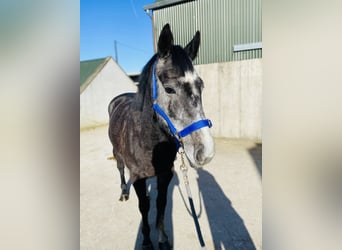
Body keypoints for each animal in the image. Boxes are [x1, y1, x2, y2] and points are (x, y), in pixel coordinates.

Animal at [108, 23, 214, 250]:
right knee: (120, 169)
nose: (206, 153)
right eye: (169, 88)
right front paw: (147, 241)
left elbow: (161, 203)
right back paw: (123, 192)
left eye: (201, 85)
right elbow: (144, 206)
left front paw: (163, 238)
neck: (148, 138)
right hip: (116, 153)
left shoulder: (165, 174)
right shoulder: (138, 177)